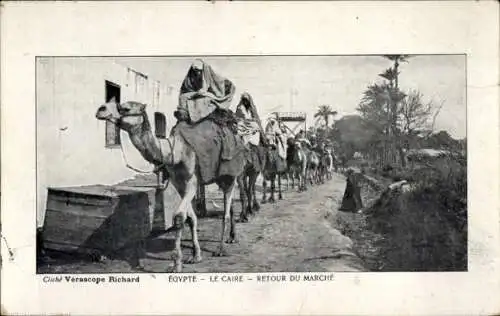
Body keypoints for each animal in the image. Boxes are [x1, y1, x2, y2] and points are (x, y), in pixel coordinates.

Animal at [96, 99, 240, 272]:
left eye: (126, 108)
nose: (101, 109)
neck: (176, 152)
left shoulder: (191, 182)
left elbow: (179, 217)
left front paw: (176, 264)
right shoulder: (178, 182)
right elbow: (190, 218)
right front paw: (195, 256)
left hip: (230, 175)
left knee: (226, 212)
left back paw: (221, 249)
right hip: (220, 178)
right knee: (230, 207)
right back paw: (232, 238)